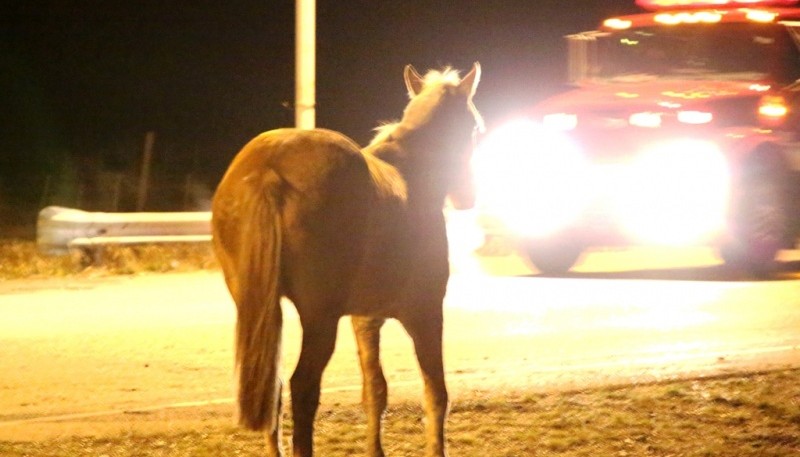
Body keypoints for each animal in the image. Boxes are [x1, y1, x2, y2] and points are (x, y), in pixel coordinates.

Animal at [212, 62, 482, 454]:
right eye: (476, 128)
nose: (467, 197)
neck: (413, 175)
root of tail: (269, 166)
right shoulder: (426, 312)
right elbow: (436, 394)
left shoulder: (365, 319)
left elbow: (376, 391)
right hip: (319, 316)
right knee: (302, 387)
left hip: (261, 308)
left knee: (274, 389)